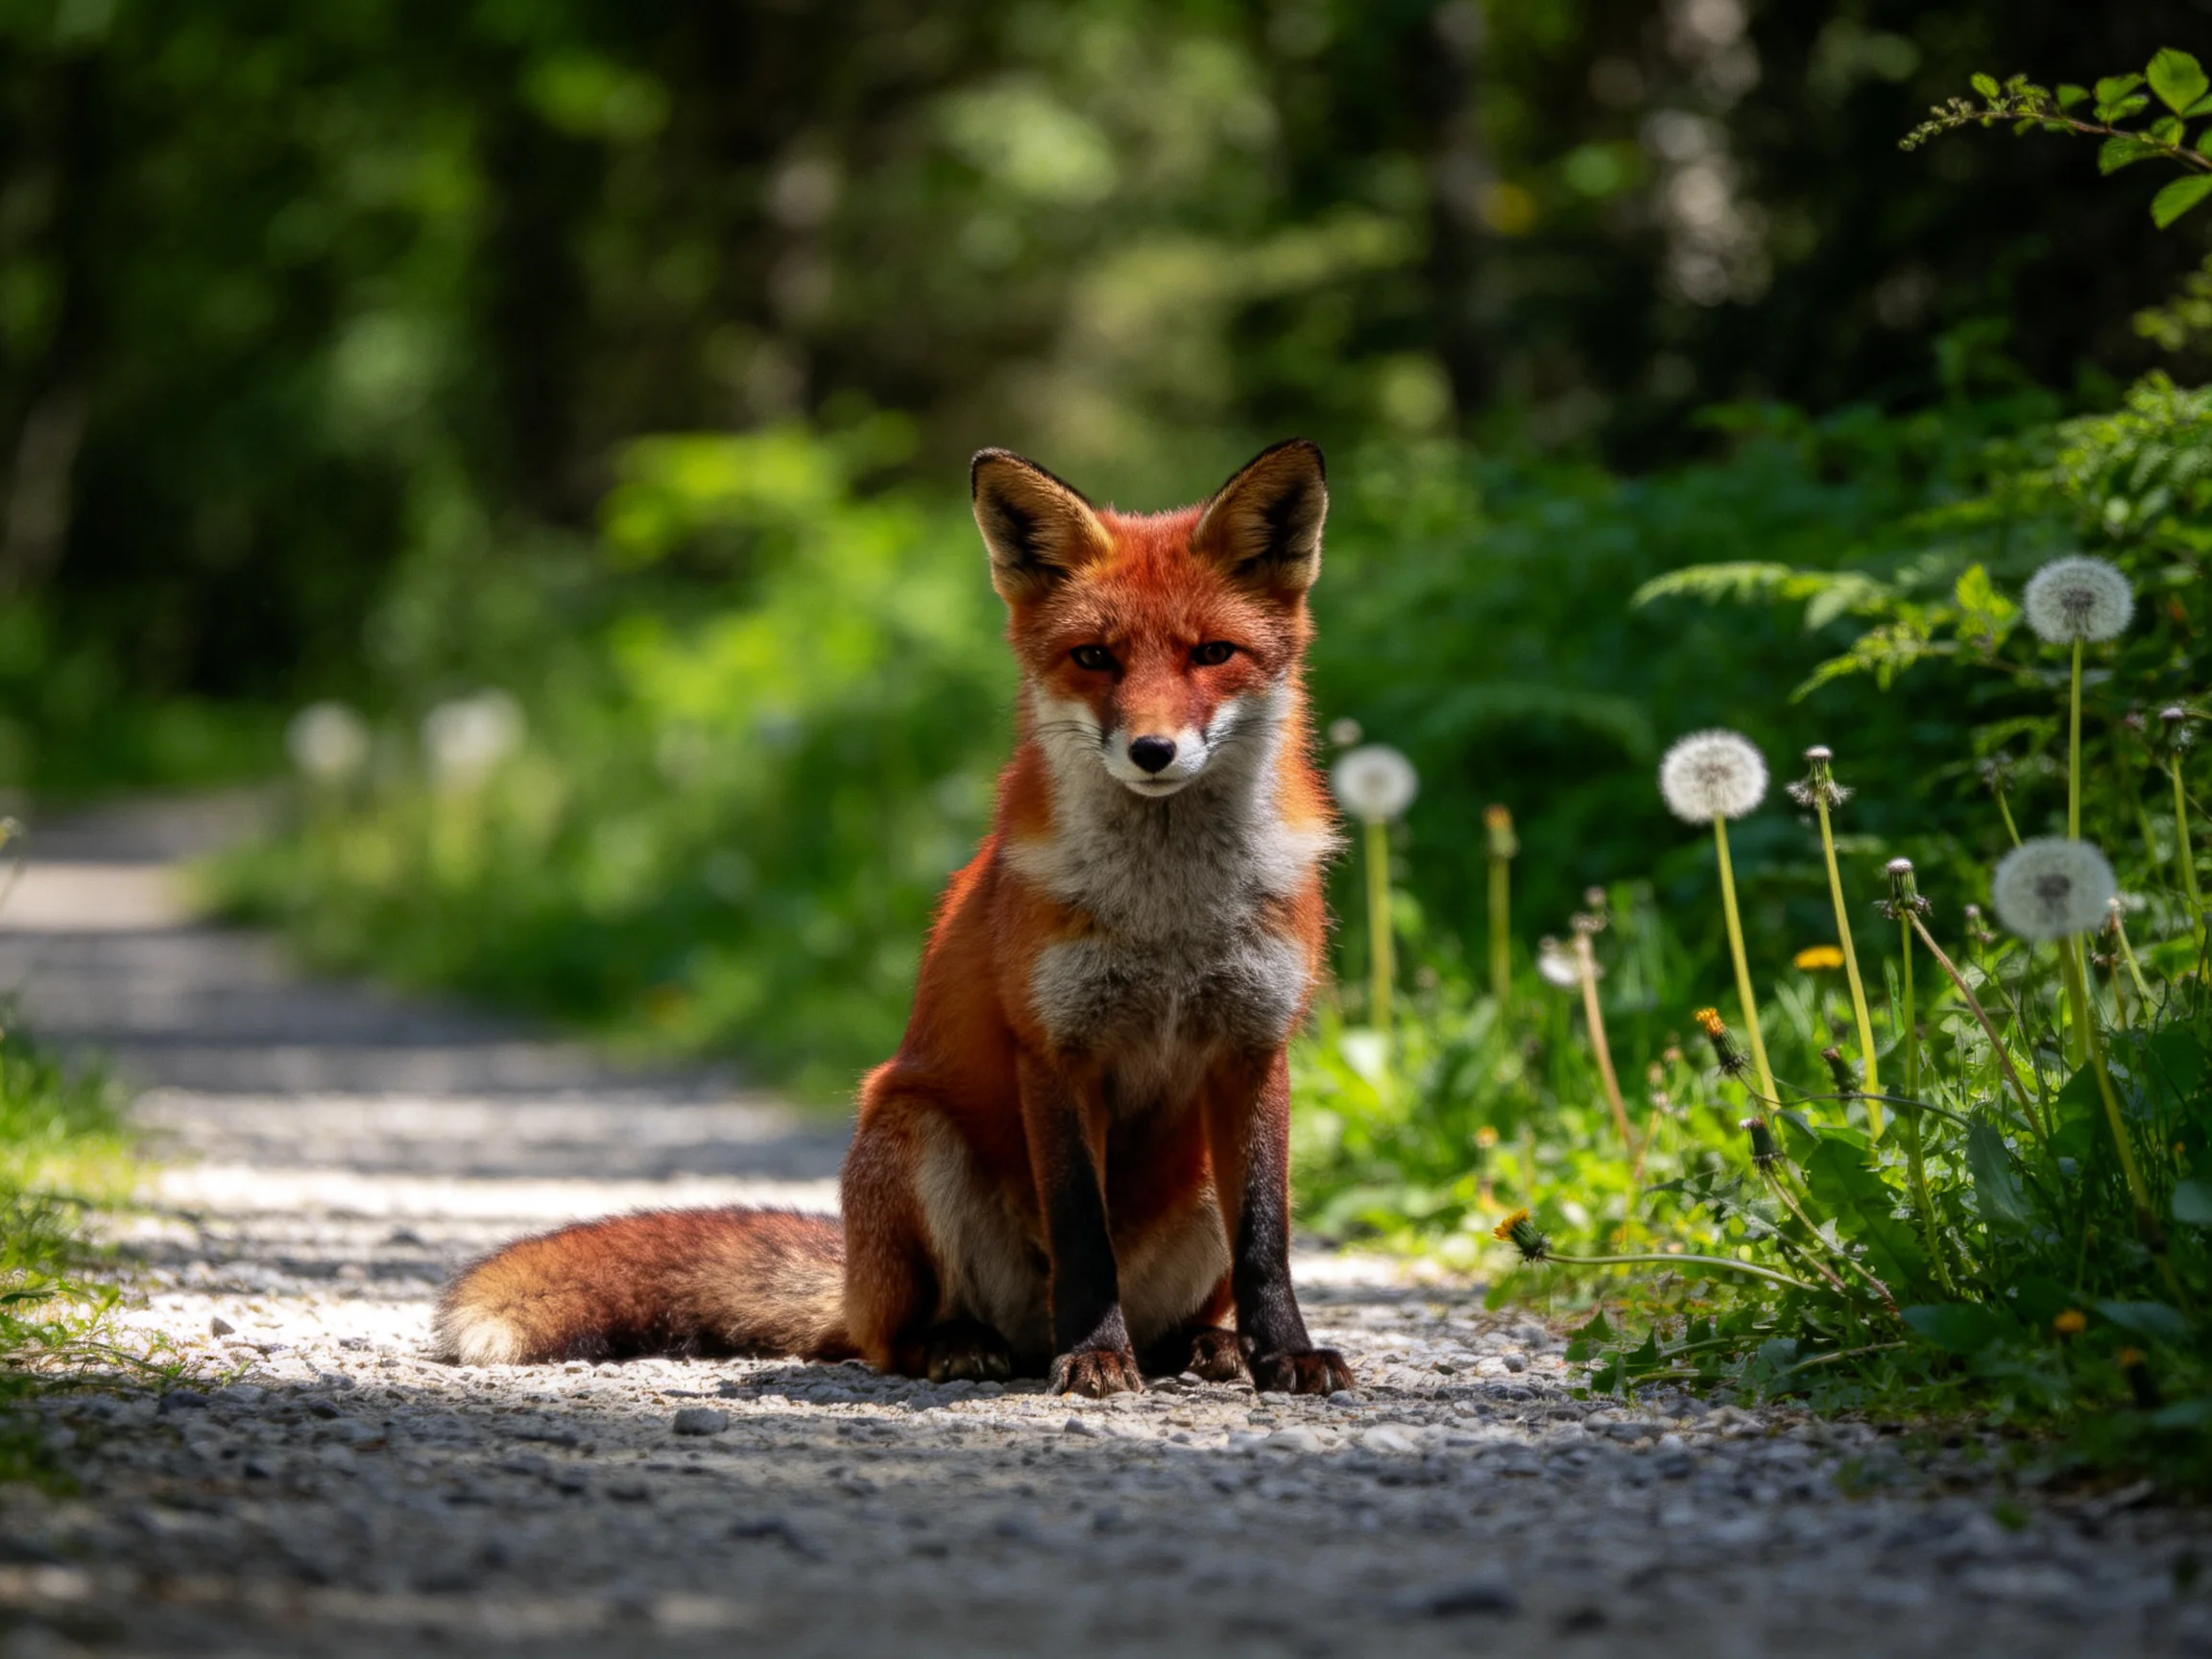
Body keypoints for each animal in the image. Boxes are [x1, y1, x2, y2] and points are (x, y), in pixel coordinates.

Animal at [433, 438, 1353, 1397]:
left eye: (1212, 653)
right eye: (1095, 657)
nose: (1152, 751)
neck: (1168, 916)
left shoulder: (1254, 1048)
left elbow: (1267, 1242)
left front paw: (1285, 1353)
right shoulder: (1055, 1051)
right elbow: (1082, 1236)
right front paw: (1096, 1355)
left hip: (1198, 1177)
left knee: (1180, 1313)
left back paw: (1206, 1346)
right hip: (909, 1131)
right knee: (895, 1341)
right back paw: (976, 1345)